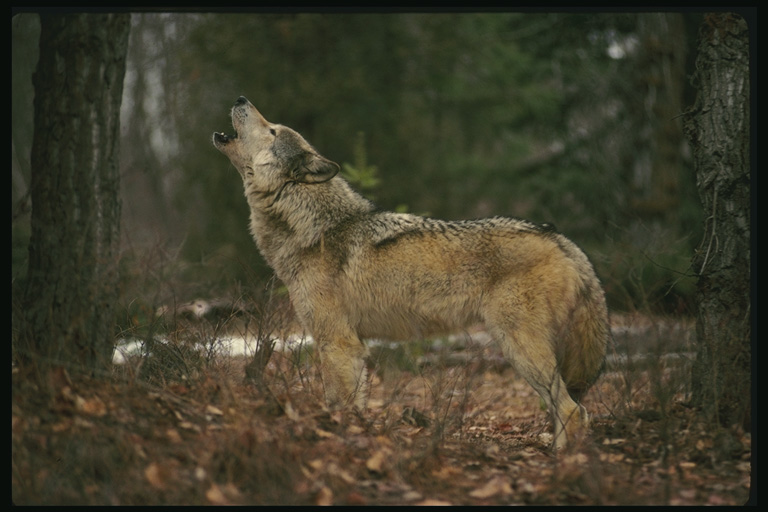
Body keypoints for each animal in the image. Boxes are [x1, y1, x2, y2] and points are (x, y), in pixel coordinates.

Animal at [213, 96, 608, 448]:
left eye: (273, 129)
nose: (241, 97)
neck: (313, 226)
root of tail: (562, 240)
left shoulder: (338, 344)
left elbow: (338, 406)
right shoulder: (351, 347)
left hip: (520, 347)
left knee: (573, 411)